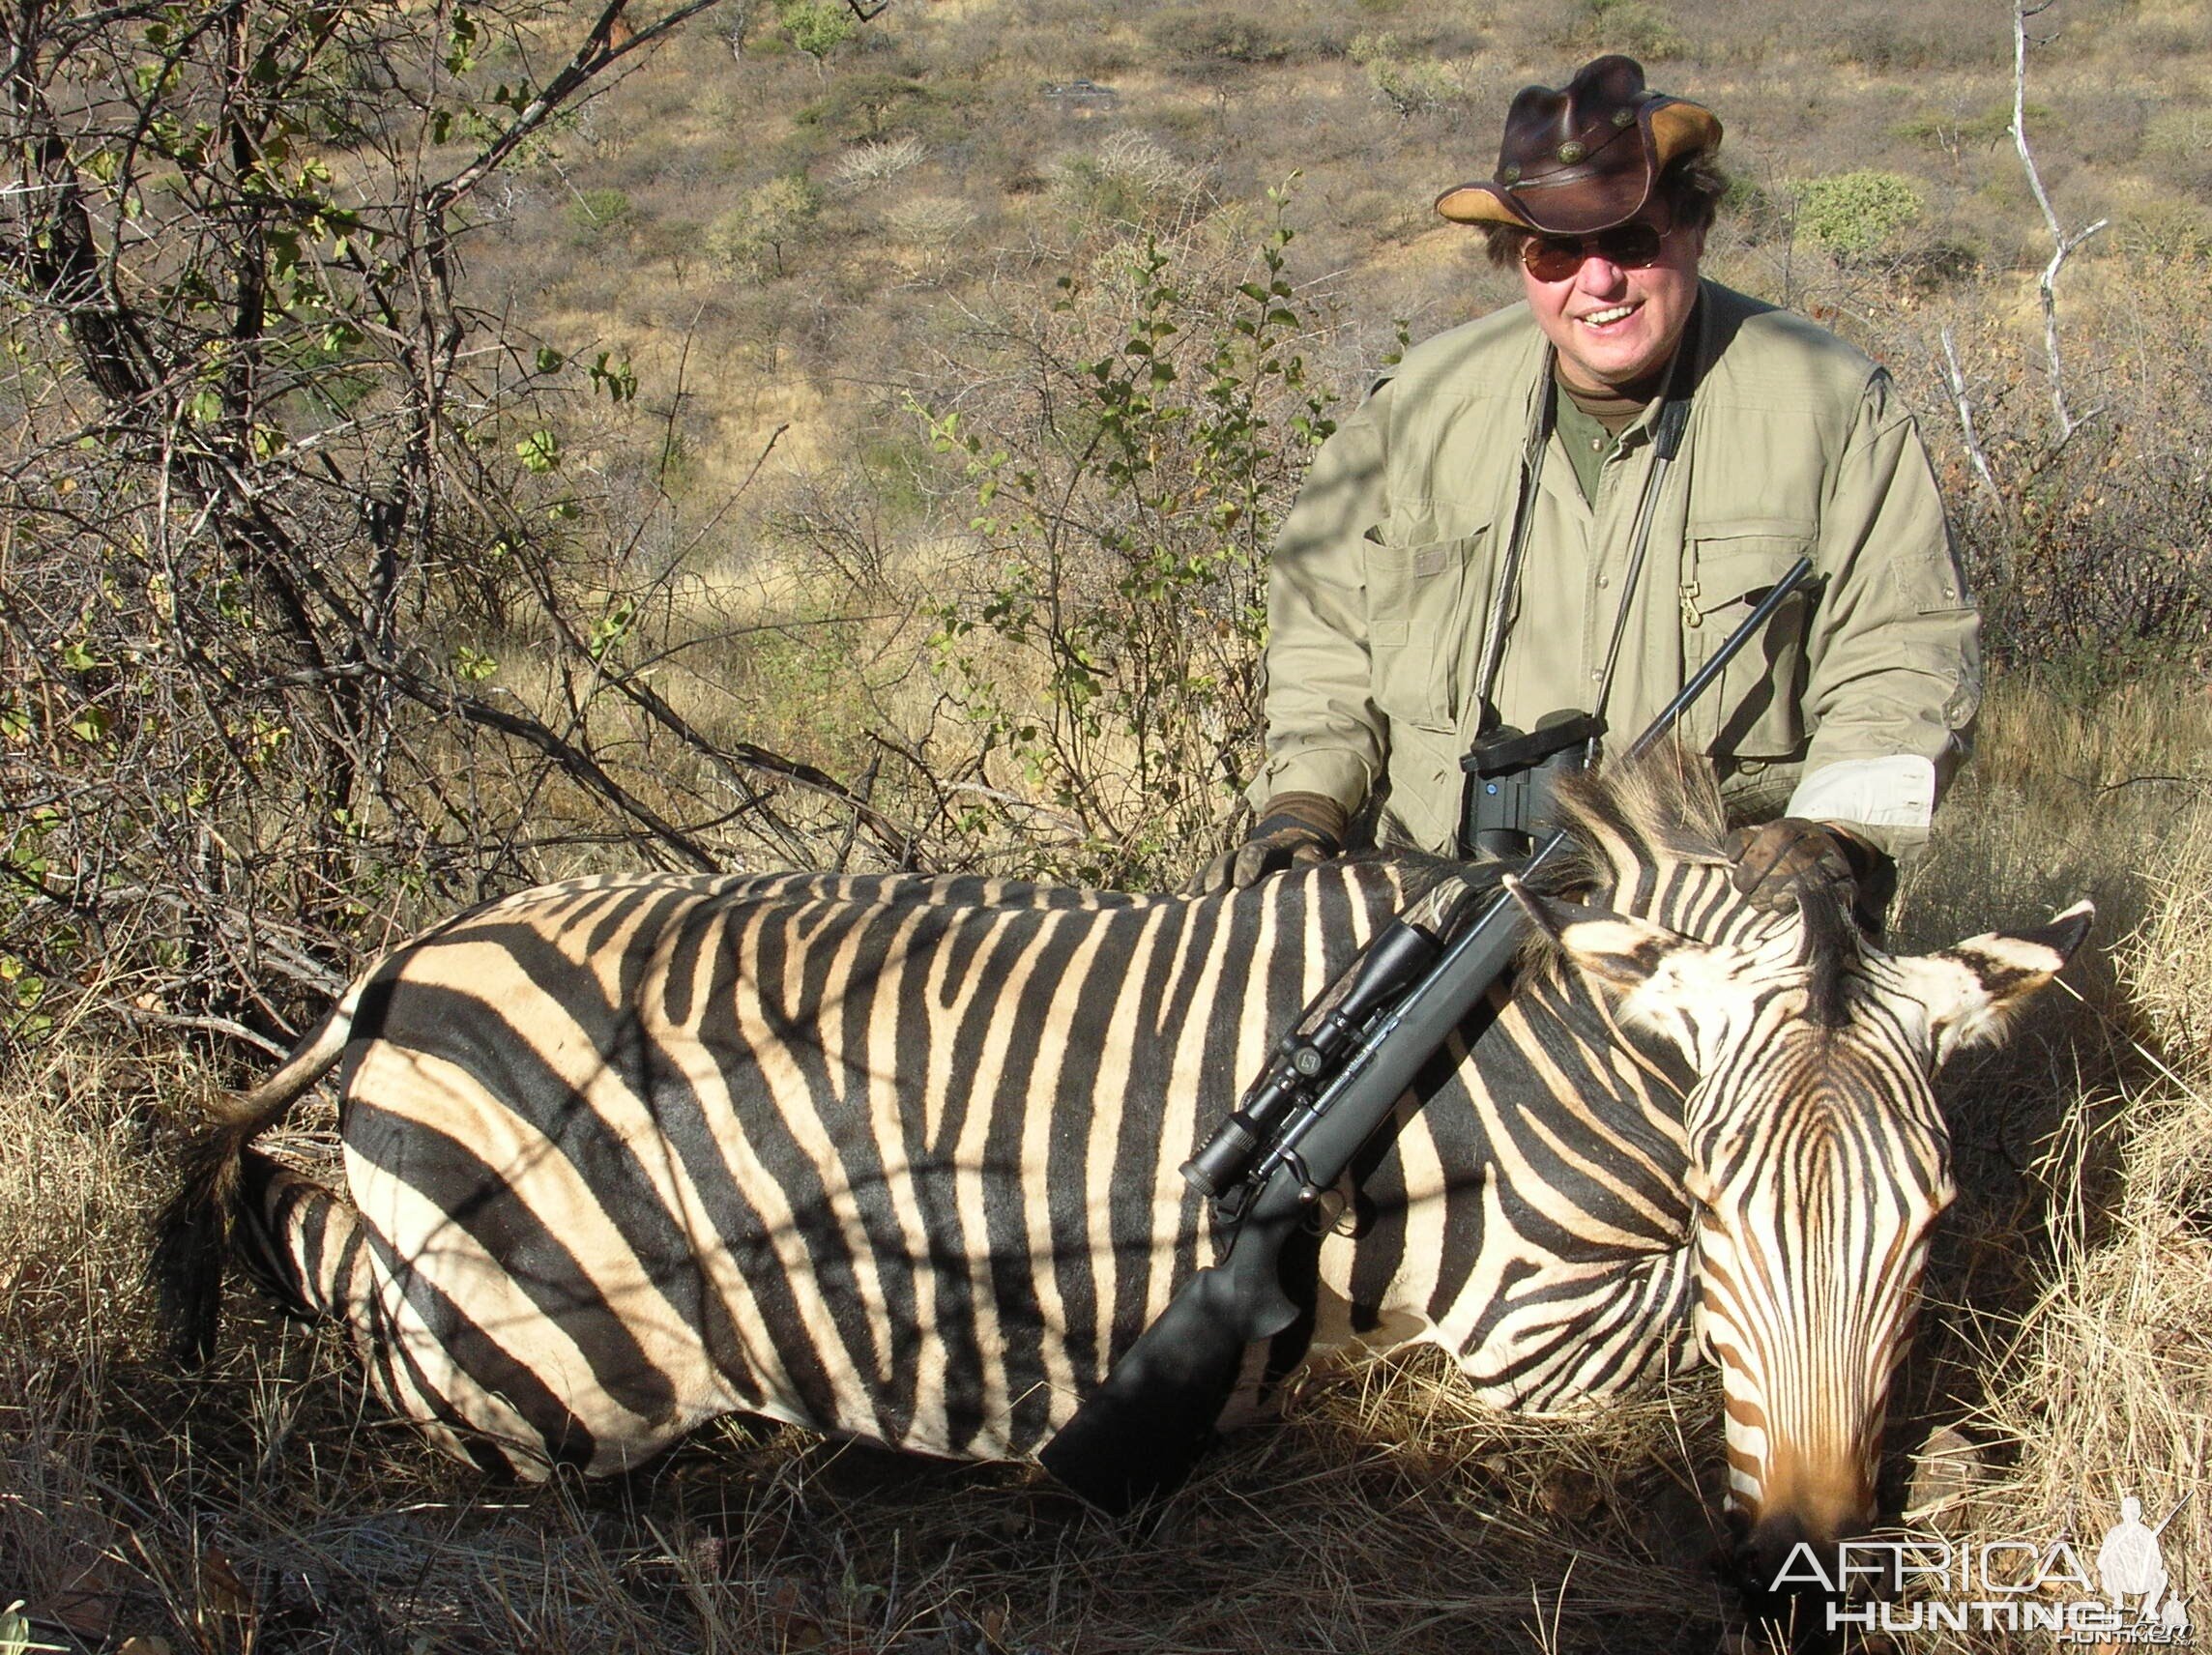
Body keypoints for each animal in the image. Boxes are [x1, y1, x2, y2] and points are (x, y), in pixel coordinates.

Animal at [156, 747, 2087, 1592]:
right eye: (1716, 1211)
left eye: (1925, 1226)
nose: (1804, 1558)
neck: (1566, 1039)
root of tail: (406, 963)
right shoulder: (1534, 1324)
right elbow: (1685, 1342)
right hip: (543, 1359)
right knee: (322, 1265)